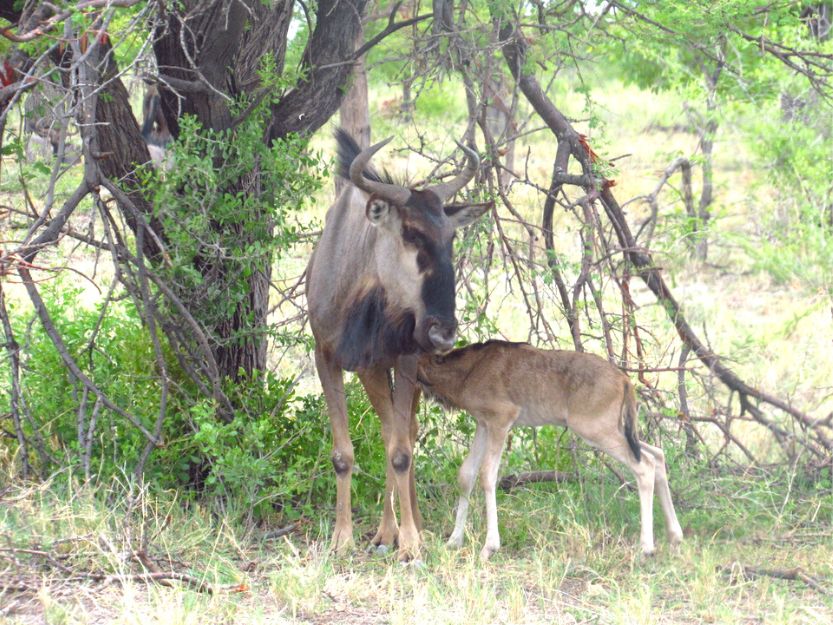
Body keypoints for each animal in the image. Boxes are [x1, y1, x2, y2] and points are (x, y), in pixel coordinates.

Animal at [416, 338, 684, 560]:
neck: (468, 370)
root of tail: (625, 381)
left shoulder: (501, 420)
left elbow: (487, 475)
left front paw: (489, 547)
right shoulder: (483, 423)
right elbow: (467, 475)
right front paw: (453, 541)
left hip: (595, 430)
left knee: (644, 466)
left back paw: (646, 547)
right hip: (618, 430)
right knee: (657, 455)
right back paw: (675, 535)